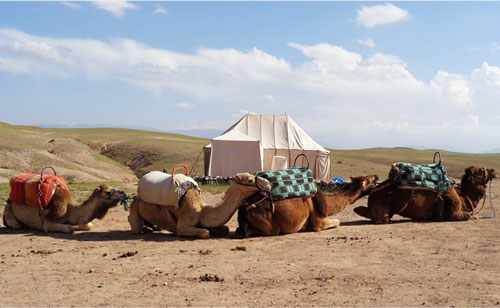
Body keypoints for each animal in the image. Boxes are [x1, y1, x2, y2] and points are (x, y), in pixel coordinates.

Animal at [127, 172, 272, 239]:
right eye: (250, 180)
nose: (268, 183)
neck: (202, 211)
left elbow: (224, 229)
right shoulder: (182, 225)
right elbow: (205, 232)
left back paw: (150, 228)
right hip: (135, 205)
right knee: (135, 225)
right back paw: (142, 229)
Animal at [236, 174, 376, 237]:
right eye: (369, 180)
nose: (376, 176)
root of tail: (245, 206)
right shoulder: (319, 223)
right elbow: (337, 222)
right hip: (269, 224)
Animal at [354, 166, 498, 224]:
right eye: (481, 170)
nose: (494, 171)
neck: (464, 198)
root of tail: (373, 191)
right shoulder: (454, 210)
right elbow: (467, 215)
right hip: (381, 208)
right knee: (381, 218)